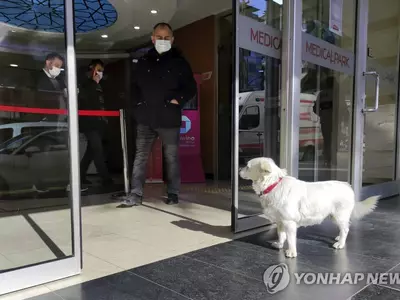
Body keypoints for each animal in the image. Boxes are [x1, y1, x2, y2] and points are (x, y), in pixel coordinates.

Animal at [239, 157, 380, 258]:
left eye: (247, 166)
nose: (238, 169)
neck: (273, 185)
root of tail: (348, 186)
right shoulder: (280, 221)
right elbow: (281, 235)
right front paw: (279, 244)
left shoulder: (289, 222)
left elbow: (290, 239)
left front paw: (291, 252)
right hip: (334, 217)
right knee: (344, 229)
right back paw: (339, 238)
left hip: (339, 216)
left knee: (346, 229)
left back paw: (340, 243)